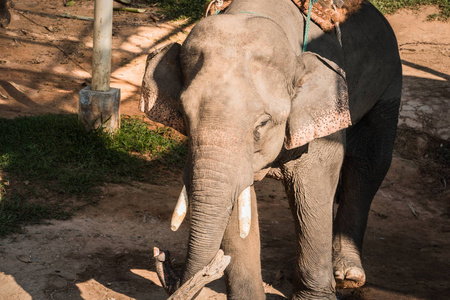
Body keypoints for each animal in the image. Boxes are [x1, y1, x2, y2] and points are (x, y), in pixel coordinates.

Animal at [140, 0, 400, 298]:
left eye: (262, 123)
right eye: (184, 114)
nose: (161, 254)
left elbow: (315, 183)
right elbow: (239, 202)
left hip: (390, 83)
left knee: (370, 163)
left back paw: (348, 275)